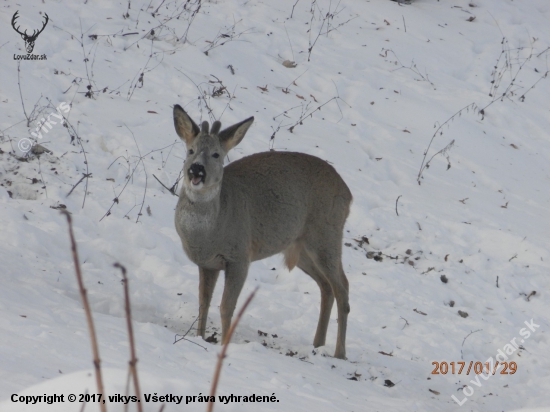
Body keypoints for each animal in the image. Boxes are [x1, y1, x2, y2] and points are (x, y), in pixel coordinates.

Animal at [174, 104, 354, 358]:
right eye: (190, 150)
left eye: (216, 154)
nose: (196, 170)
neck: (211, 231)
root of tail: (348, 194)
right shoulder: (207, 264)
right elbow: (203, 302)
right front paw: (199, 337)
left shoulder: (239, 257)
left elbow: (226, 306)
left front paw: (224, 345)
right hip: (300, 248)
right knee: (326, 286)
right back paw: (317, 344)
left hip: (326, 235)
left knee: (343, 287)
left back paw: (339, 353)